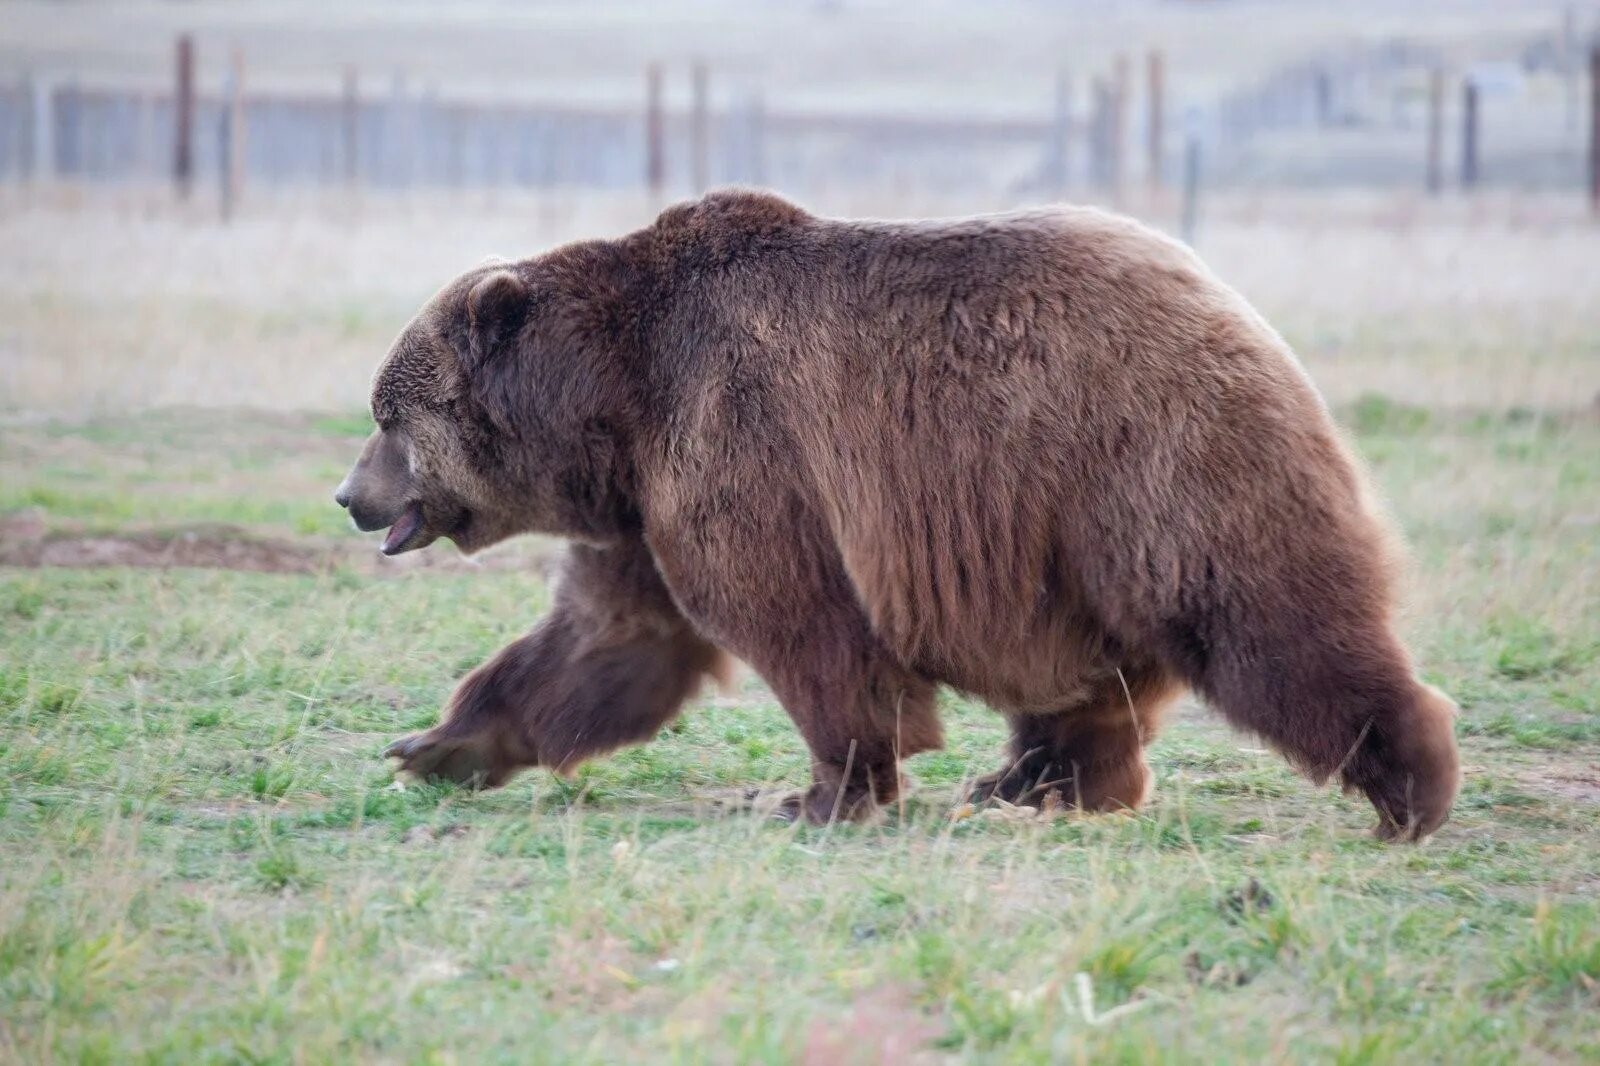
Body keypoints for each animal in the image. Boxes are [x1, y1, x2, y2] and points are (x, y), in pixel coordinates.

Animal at [337, 191, 1465, 838]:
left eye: (389, 415)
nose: (351, 497)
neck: (611, 400)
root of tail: (1231, 302)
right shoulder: (646, 504)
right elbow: (608, 638)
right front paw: (438, 745)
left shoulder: (739, 435)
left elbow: (803, 629)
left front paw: (821, 793)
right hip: (1061, 537)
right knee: (1091, 679)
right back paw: (1033, 783)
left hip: (1149, 460)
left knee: (1261, 618)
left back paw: (1411, 789)